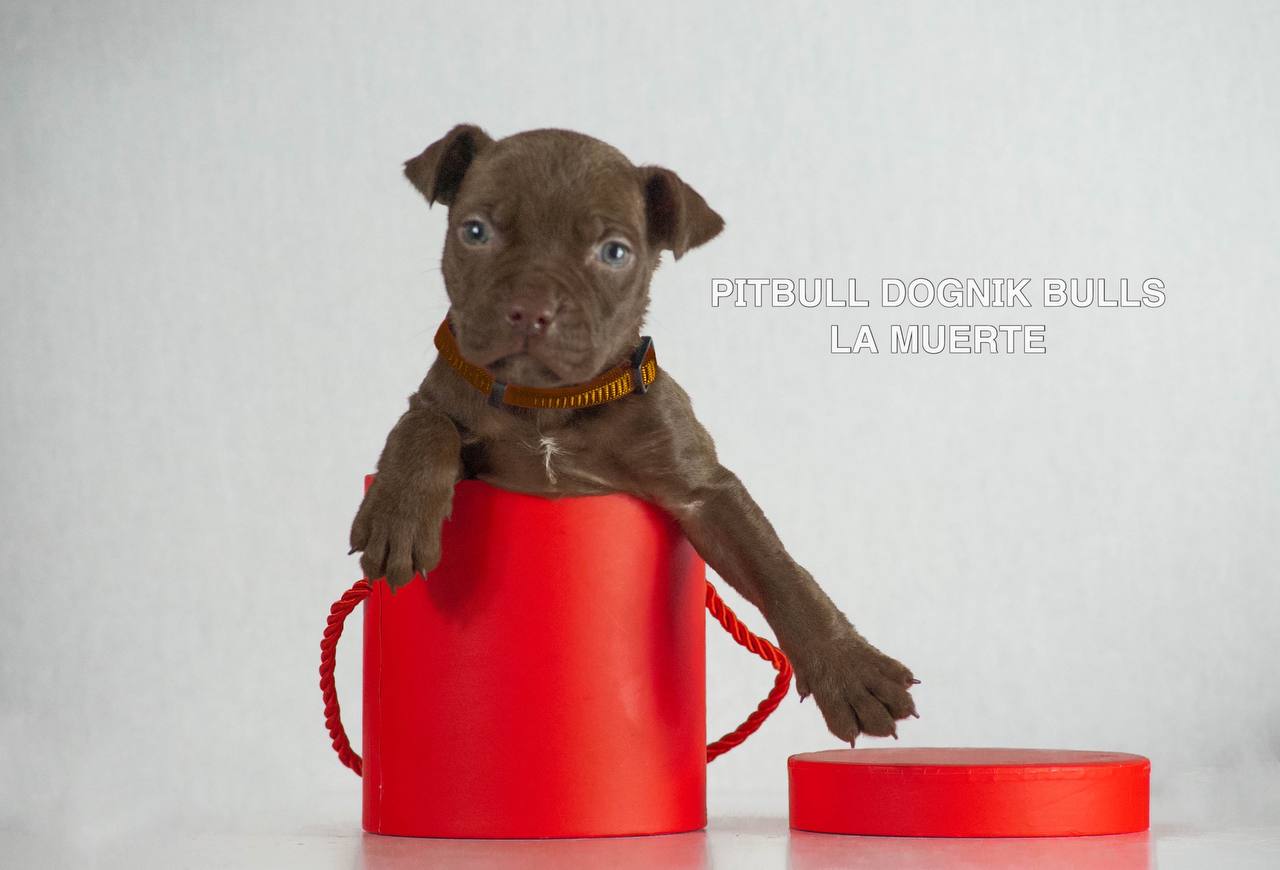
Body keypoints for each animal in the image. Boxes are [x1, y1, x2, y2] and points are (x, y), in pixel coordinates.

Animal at [350, 125, 919, 745]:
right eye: (475, 231)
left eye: (614, 252)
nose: (530, 308)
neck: (550, 405)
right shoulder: (443, 402)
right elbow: (424, 426)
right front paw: (398, 518)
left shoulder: (703, 493)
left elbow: (780, 570)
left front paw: (853, 671)